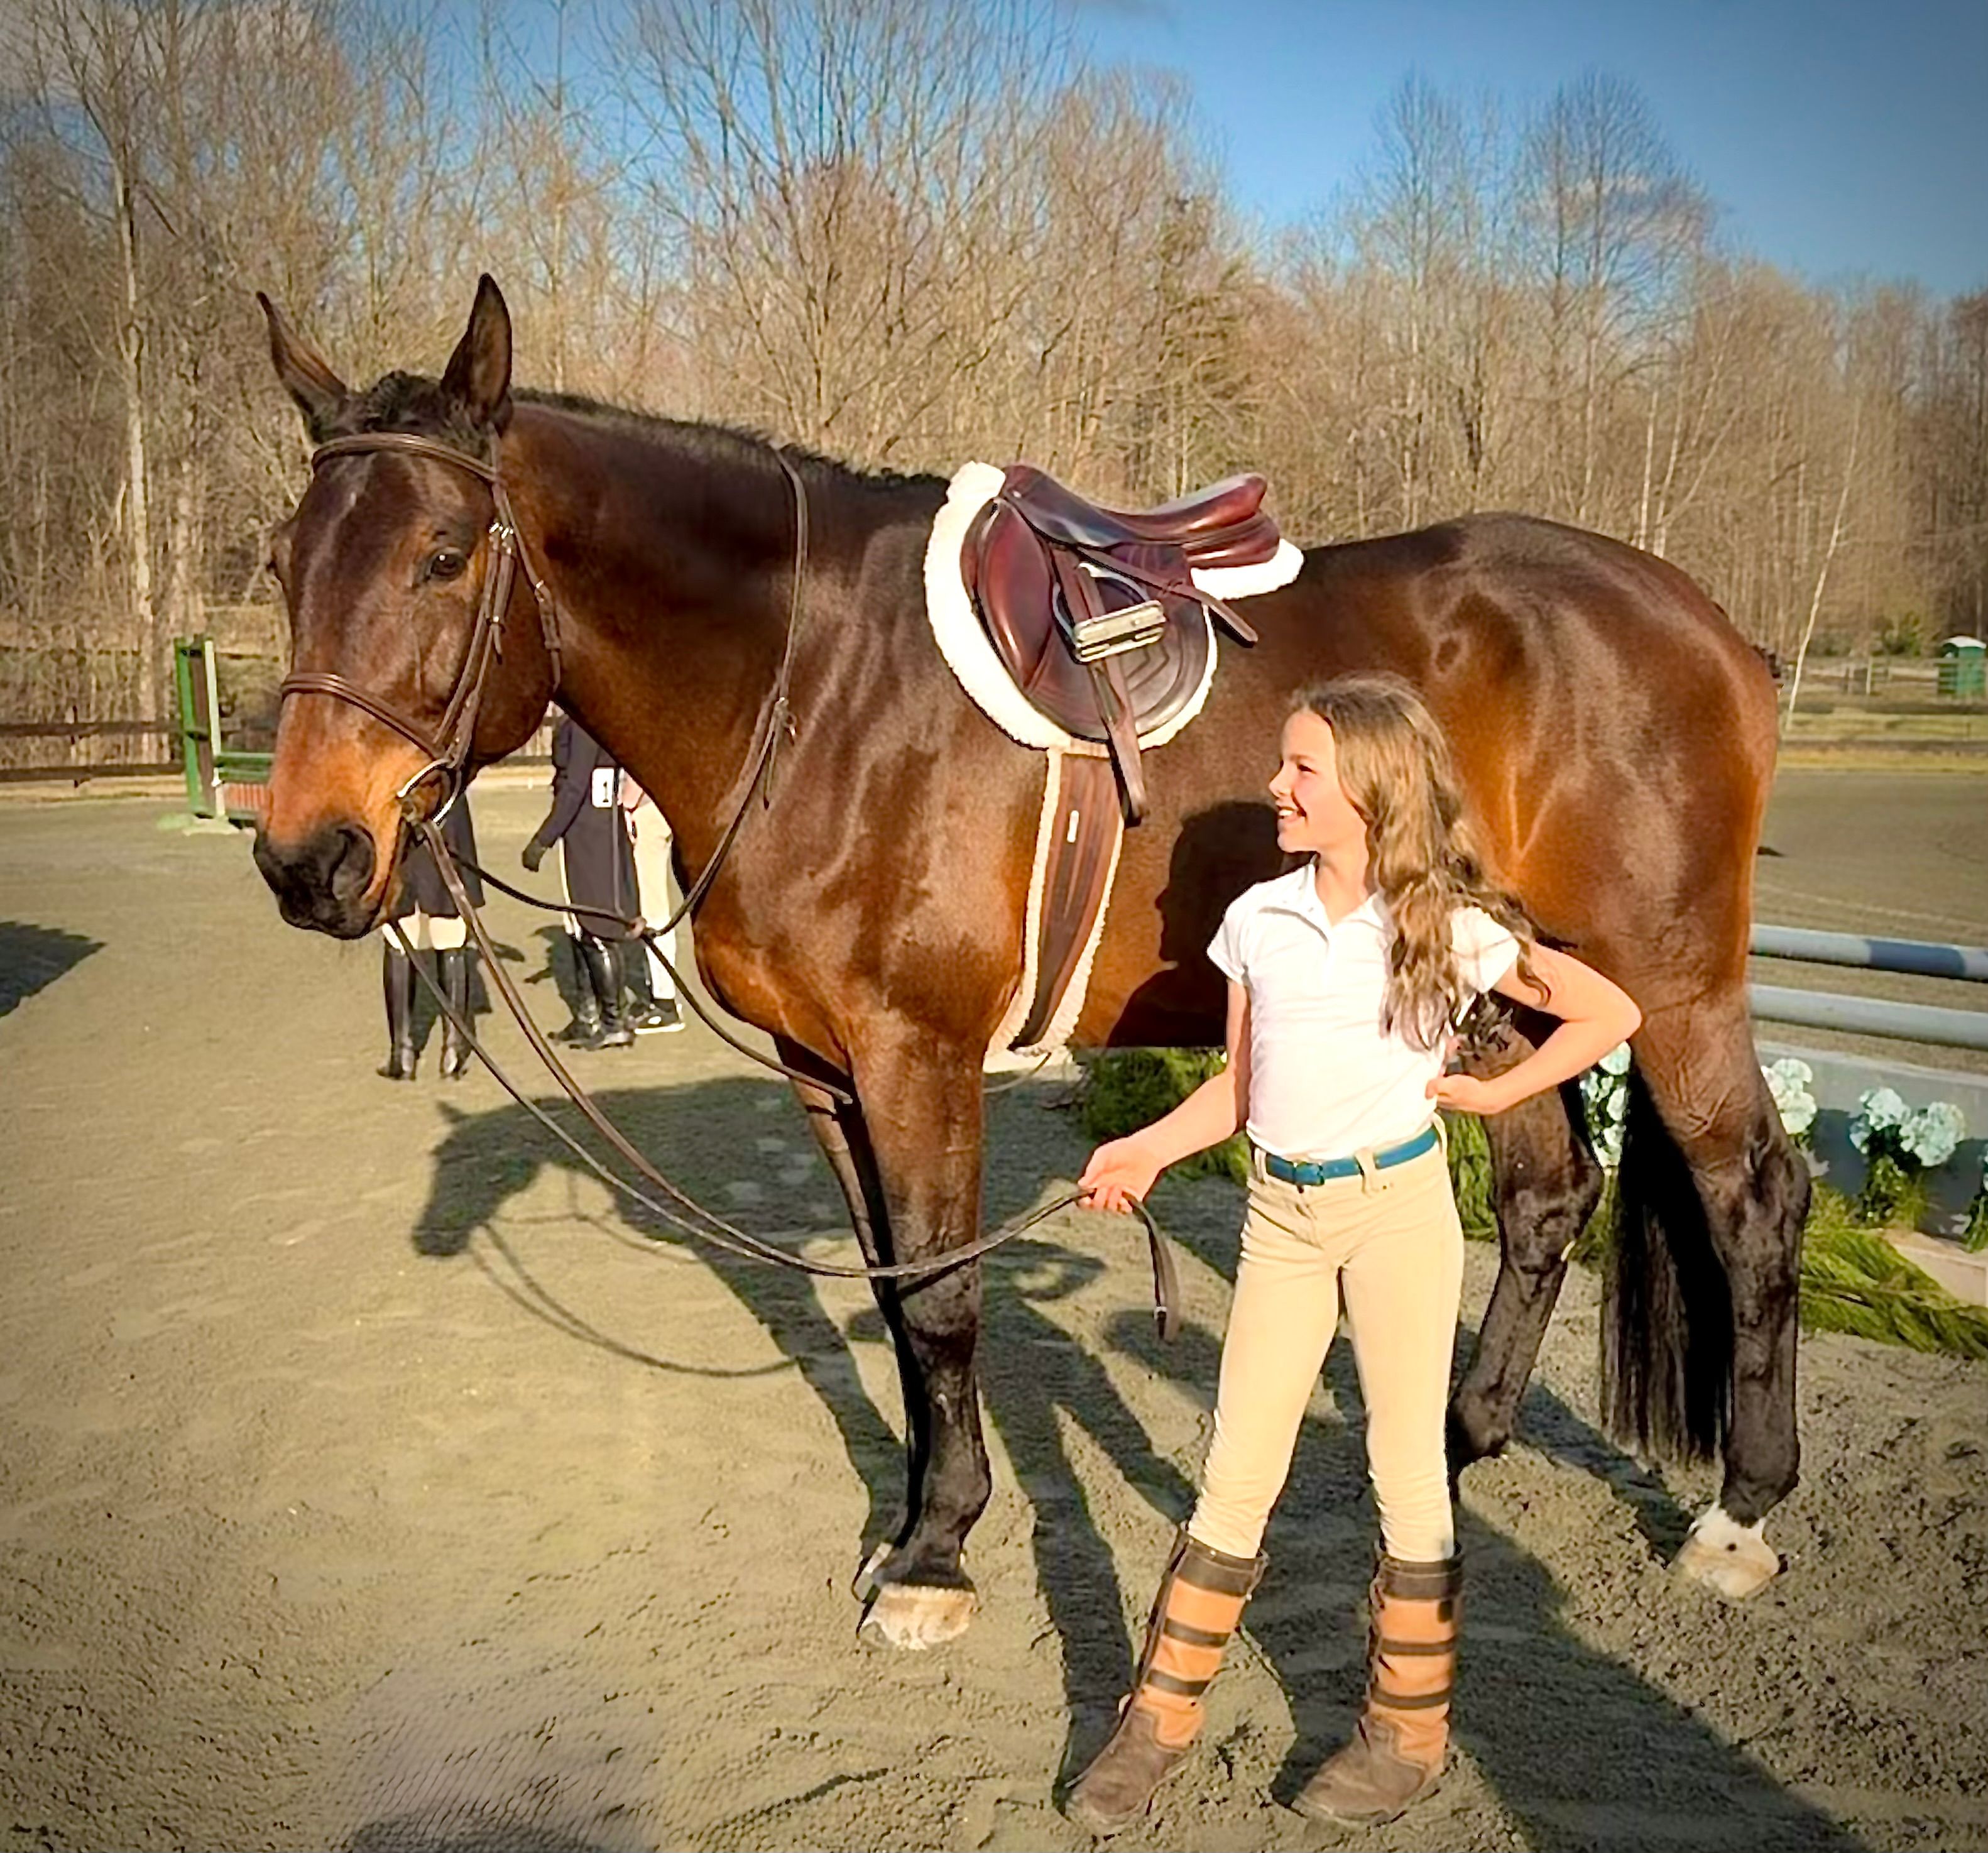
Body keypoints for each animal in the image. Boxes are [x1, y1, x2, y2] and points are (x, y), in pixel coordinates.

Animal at [250, 275, 1808, 1648]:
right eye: (283, 562)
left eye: (442, 553)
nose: (306, 859)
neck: (809, 679)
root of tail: (1706, 621)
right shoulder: (826, 1069)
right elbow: (893, 1299)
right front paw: (907, 1521)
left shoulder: (915, 1055)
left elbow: (943, 1298)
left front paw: (935, 1556)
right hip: (1493, 984)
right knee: (1548, 1196)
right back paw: (1451, 1444)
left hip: (1667, 983)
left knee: (1752, 1194)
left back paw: (1739, 1511)